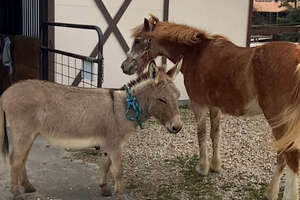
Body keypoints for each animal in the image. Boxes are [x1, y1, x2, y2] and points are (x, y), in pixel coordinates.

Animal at [120, 14, 300, 199]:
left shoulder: (198, 104)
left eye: (138, 40)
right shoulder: (215, 107)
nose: (124, 66)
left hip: (279, 121)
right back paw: (271, 191)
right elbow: (215, 134)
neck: (196, 53)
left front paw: (203, 167)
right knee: (283, 155)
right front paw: (215, 165)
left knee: (290, 157)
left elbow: (202, 134)